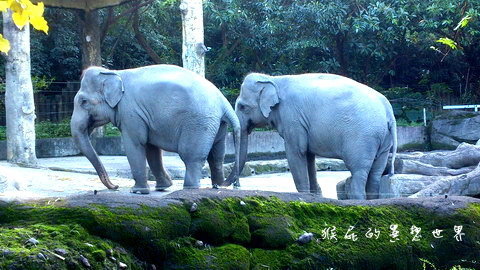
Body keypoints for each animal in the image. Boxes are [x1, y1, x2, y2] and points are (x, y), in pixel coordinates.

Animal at [71, 64, 240, 193]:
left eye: (83, 102)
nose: (115, 186)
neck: (116, 73)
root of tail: (223, 102)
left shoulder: (131, 112)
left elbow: (135, 144)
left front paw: (138, 191)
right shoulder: (143, 116)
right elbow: (151, 148)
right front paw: (163, 187)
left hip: (199, 123)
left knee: (192, 156)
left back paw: (190, 188)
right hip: (217, 125)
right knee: (217, 156)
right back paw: (217, 186)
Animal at [225, 73, 398, 199]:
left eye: (243, 106)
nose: (236, 185)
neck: (274, 79)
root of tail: (388, 111)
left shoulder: (292, 118)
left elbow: (296, 153)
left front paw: (304, 197)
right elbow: (308, 157)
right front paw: (316, 196)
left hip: (363, 138)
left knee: (359, 172)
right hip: (383, 140)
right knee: (375, 174)